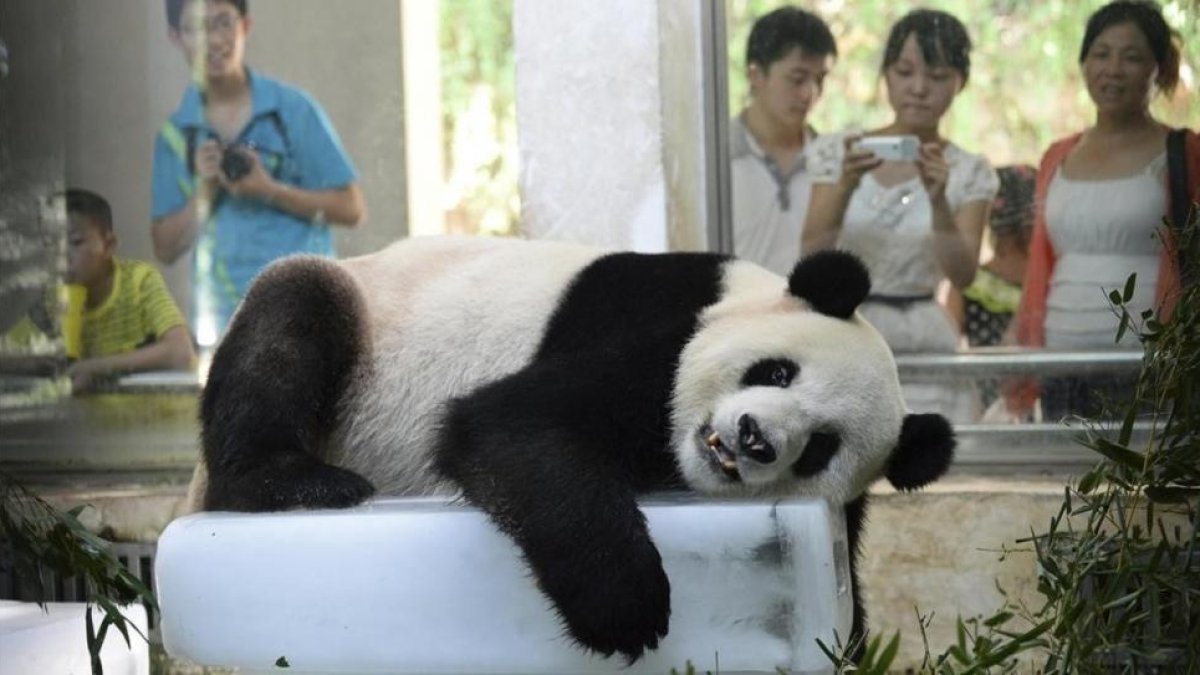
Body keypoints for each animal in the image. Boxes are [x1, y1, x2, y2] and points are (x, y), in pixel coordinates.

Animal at [192, 235, 954, 662]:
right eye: (776, 372)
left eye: (820, 448)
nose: (755, 438)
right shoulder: (661, 337)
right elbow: (512, 426)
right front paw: (626, 607)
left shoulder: (843, 505)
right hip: (358, 324)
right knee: (291, 317)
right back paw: (293, 481)